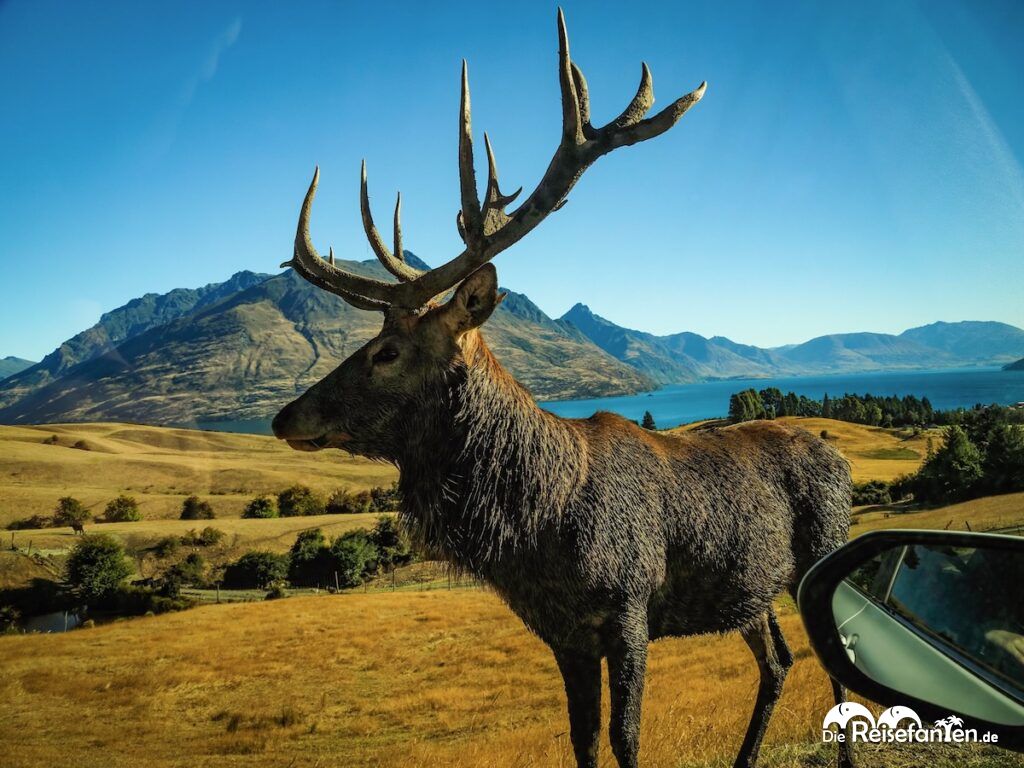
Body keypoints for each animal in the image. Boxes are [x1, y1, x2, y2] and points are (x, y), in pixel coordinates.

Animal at [272, 10, 855, 768]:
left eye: (387, 351)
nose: (285, 416)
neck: (541, 530)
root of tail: (841, 462)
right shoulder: (564, 636)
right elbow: (582, 740)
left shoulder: (630, 609)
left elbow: (626, 738)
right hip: (751, 589)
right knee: (779, 660)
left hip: (822, 558)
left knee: (834, 666)